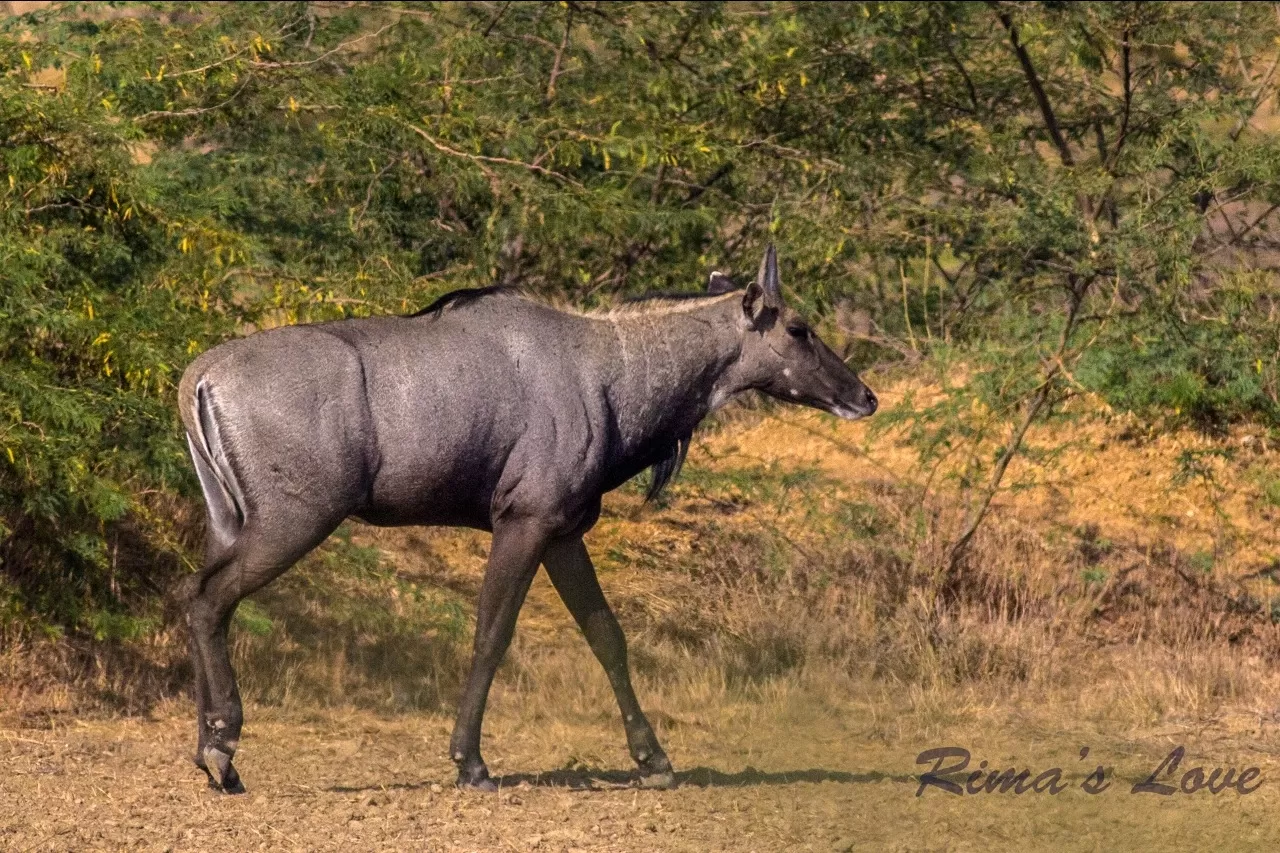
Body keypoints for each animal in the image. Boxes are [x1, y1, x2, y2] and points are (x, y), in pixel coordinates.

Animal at [175, 244, 875, 788]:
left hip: (232, 522)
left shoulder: (564, 533)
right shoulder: (524, 522)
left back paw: (210, 754)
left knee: (196, 598)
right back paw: (222, 750)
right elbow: (492, 634)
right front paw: (471, 764)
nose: (865, 397)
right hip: (293, 521)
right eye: (799, 329)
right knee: (208, 600)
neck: (607, 373)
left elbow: (607, 635)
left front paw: (654, 761)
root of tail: (198, 379)